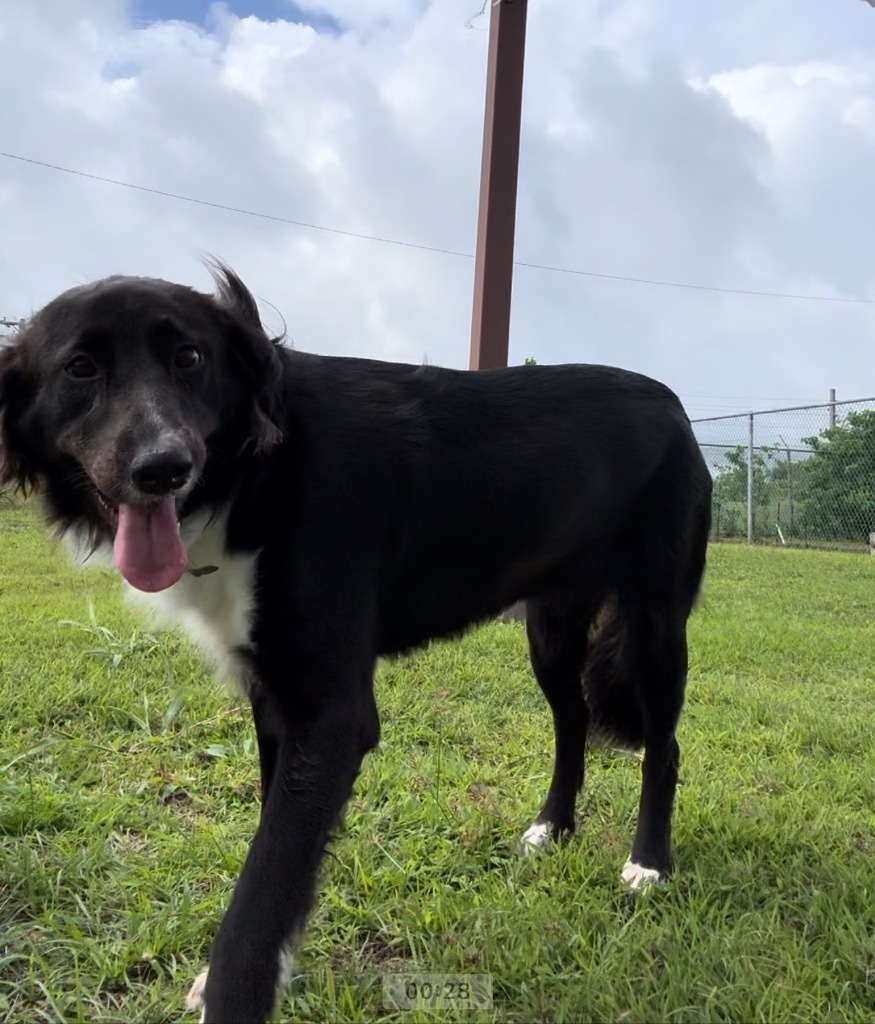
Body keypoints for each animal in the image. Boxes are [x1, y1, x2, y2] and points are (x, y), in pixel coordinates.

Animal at [0, 266, 713, 1024]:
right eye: (80, 368)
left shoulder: (331, 716)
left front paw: (235, 993)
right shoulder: (274, 698)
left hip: (653, 627)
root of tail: (671, 402)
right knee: (572, 720)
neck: (255, 474)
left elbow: (262, 885)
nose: (163, 467)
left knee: (663, 748)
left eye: (188, 357)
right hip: (549, 627)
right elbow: (279, 863)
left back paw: (648, 863)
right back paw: (553, 827)